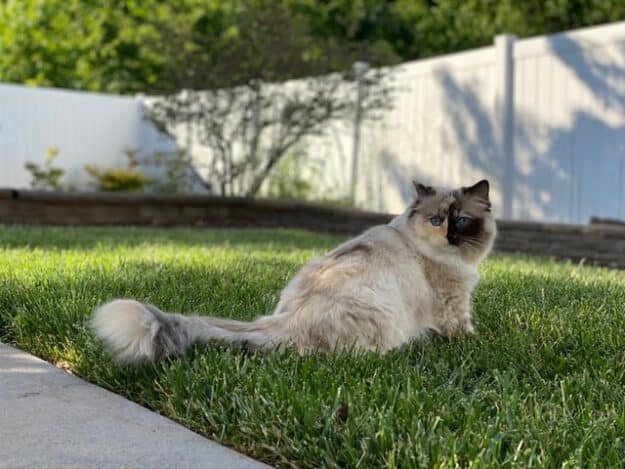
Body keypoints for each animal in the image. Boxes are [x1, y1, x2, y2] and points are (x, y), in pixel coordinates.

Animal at [92, 177, 494, 364]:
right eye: (436, 220)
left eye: (462, 220)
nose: (450, 236)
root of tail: (283, 322)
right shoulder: (453, 304)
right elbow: (466, 330)